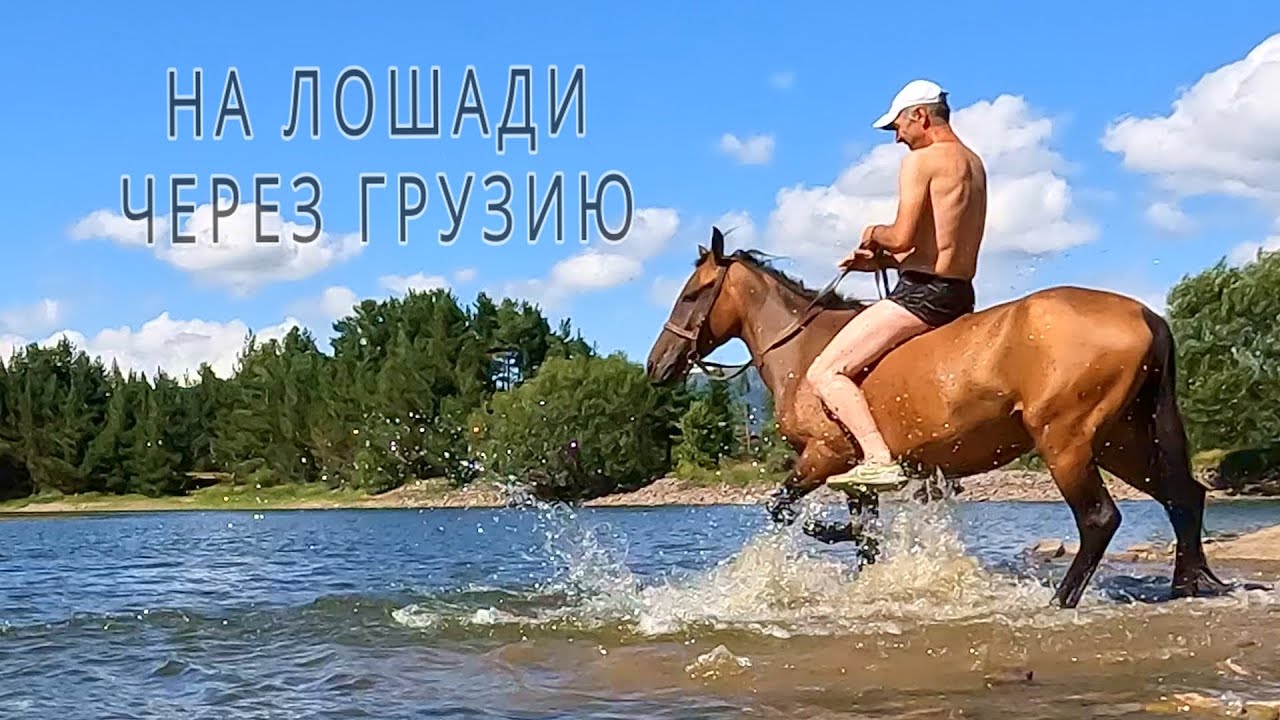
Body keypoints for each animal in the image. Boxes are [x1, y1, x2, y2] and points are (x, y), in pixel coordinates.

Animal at [645, 226, 1233, 609]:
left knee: (1099, 519)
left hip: (1066, 442)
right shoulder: (855, 476)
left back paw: (1061, 601)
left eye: (694, 293)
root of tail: (1146, 313)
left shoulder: (824, 456)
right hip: (1121, 441)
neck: (805, 353)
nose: (656, 365)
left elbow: (785, 511)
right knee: (1184, 495)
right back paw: (1187, 585)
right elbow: (865, 540)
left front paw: (830, 531)